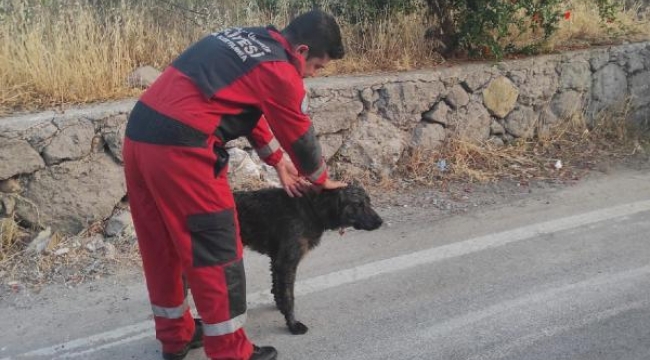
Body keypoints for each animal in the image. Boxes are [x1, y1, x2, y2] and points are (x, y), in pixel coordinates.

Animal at [234, 186, 382, 334]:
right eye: (358, 204)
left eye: (369, 202)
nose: (380, 222)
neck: (312, 208)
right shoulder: (287, 263)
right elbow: (289, 297)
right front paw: (292, 324)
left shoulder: (277, 259)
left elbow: (277, 287)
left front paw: (280, 306)